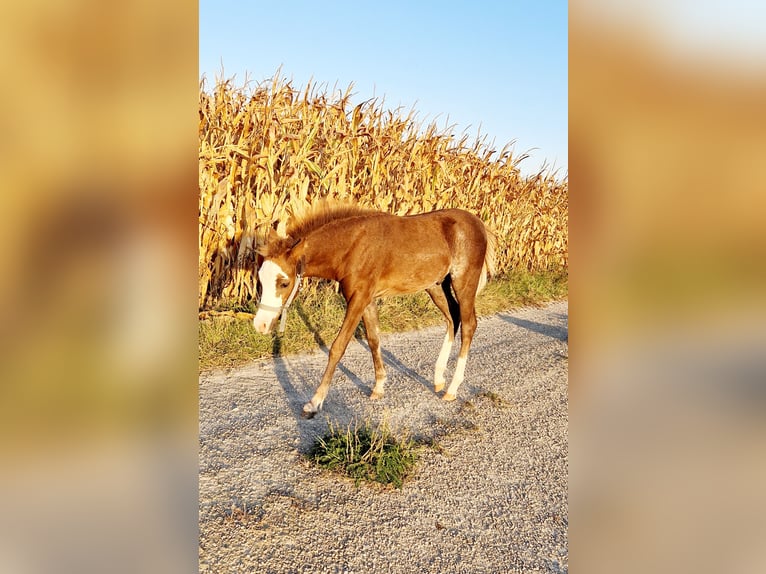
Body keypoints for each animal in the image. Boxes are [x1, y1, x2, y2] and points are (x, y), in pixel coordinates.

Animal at [255, 205, 498, 420]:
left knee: (468, 324)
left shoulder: (358, 299)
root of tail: (479, 224)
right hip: (436, 285)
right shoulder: (367, 300)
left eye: (284, 283)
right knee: (452, 318)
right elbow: (373, 339)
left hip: (464, 282)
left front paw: (315, 402)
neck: (352, 247)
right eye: (260, 279)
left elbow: (338, 347)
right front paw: (379, 386)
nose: (261, 325)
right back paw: (439, 378)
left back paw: (452, 388)